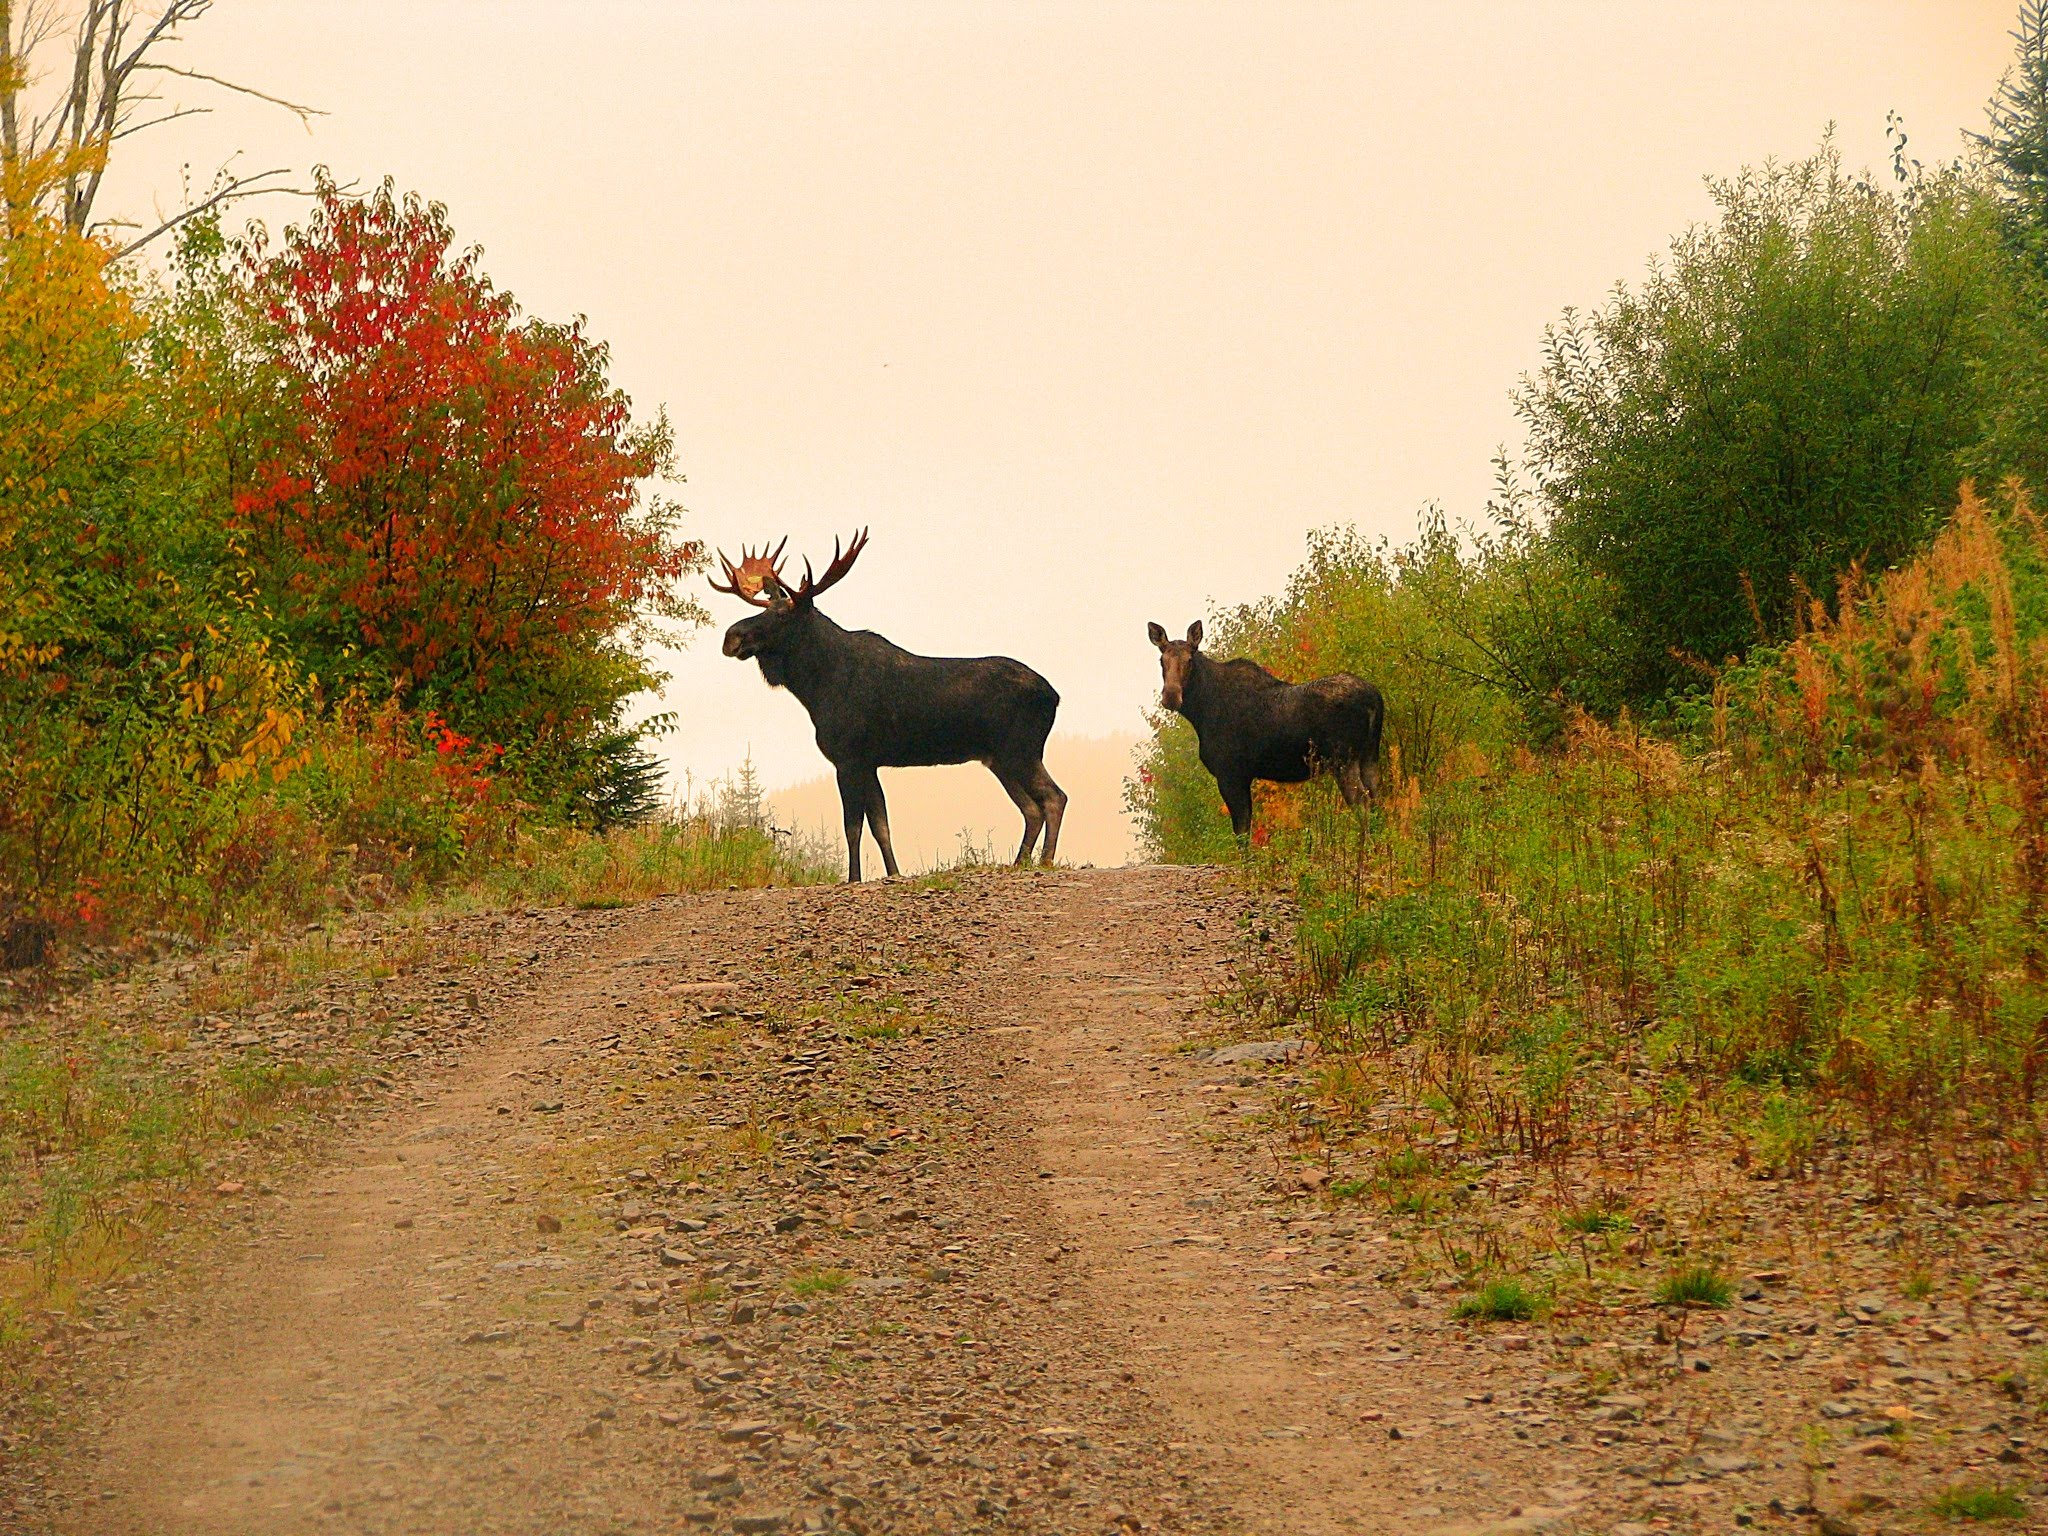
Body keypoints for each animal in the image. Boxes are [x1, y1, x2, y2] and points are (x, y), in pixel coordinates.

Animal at [716, 536, 1073, 884]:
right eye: (764, 608)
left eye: (781, 615)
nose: (731, 637)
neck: (816, 689)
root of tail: (1054, 696)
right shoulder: (870, 761)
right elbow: (881, 825)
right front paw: (893, 873)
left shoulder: (848, 757)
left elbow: (853, 827)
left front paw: (854, 878)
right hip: (998, 759)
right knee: (1031, 808)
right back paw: (1019, 862)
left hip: (1020, 749)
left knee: (1054, 797)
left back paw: (1045, 861)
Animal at [1146, 618, 1384, 843]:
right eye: (1161, 661)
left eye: (1190, 660)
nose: (1171, 696)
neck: (1200, 713)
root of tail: (1374, 698)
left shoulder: (1230, 773)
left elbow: (1242, 832)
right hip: (1370, 756)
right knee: (1376, 798)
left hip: (1343, 760)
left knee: (1362, 802)